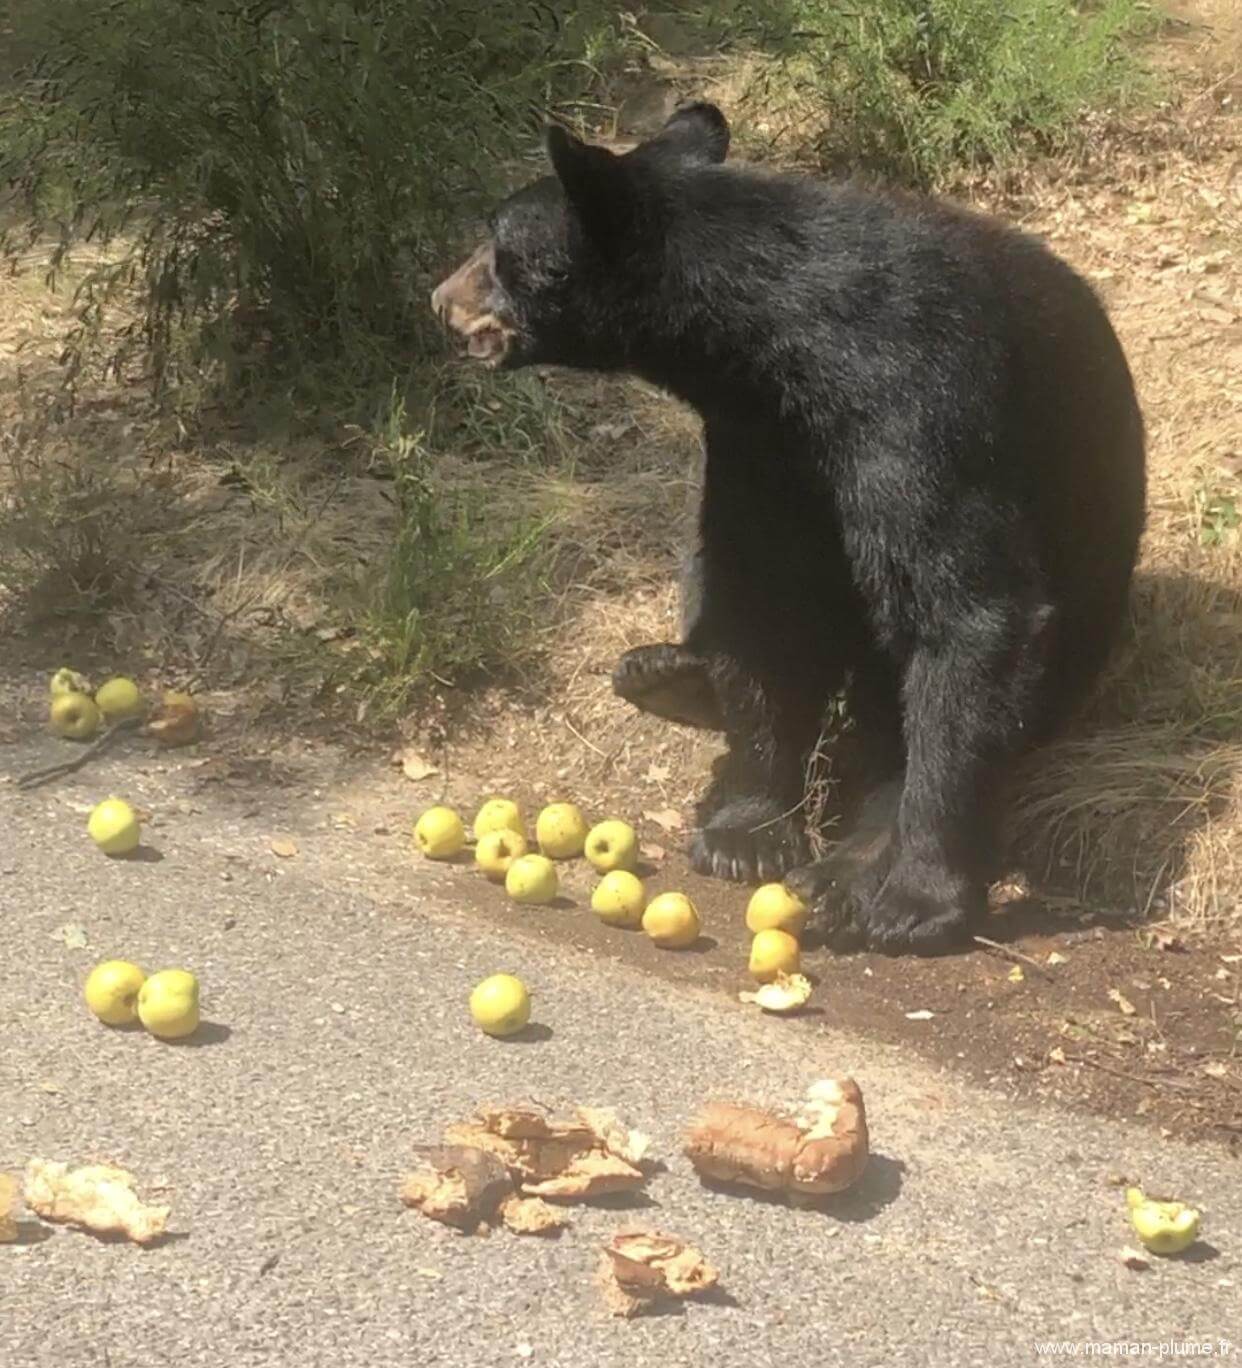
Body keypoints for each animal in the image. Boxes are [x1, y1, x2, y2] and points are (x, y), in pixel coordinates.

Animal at [434, 101, 1143, 952]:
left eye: (499, 250)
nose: (439, 299)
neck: (776, 340)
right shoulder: (761, 440)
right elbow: (760, 590)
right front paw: (747, 834)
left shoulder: (920, 405)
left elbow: (969, 609)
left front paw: (916, 899)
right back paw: (669, 676)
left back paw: (846, 875)